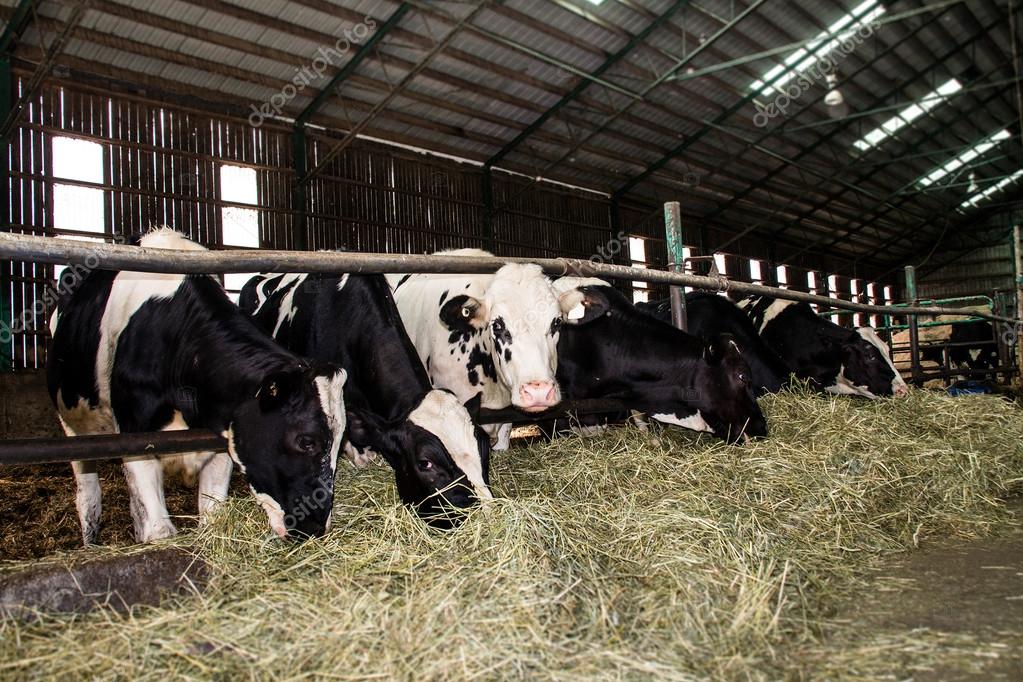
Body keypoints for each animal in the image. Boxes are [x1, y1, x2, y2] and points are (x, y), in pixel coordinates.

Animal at [47, 229, 347, 545]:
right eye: (306, 441)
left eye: (339, 441)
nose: (314, 528)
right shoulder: (134, 437)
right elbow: (158, 529)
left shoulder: (222, 440)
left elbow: (211, 515)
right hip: (73, 426)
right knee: (88, 495)